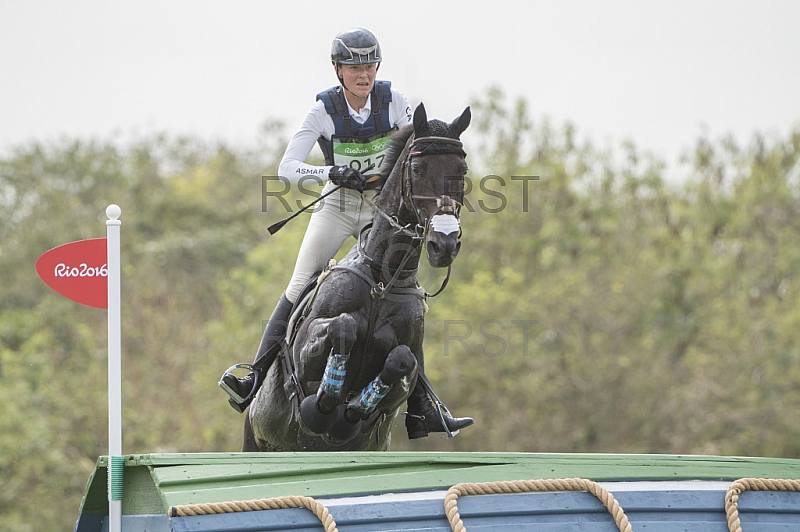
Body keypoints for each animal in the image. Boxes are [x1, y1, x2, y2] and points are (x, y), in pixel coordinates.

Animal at [244, 103, 468, 448]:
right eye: (417, 169)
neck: (381, 281)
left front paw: (350, 413)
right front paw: (323, 404)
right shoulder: (307, 349)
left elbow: (403, 360)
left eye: (463, 171)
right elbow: (343, 327)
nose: (443, 244)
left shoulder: (407, 369)